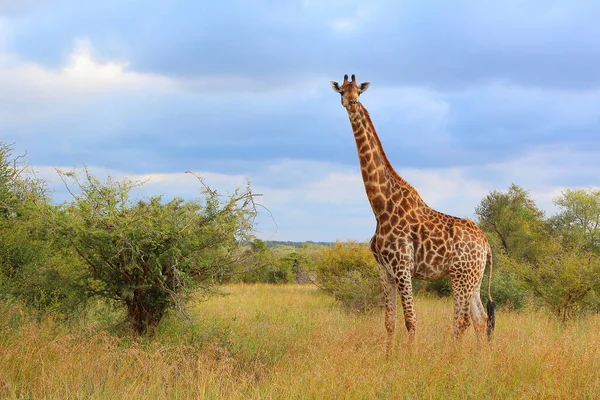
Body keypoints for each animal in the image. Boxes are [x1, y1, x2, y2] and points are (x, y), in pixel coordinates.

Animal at [330, 74, 494, 354]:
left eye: (358, 92)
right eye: (341, 91)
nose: (351, 103)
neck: (381, 207)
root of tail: (486, 244)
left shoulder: (402, 266)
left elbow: (411, 319)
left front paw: (410, 356)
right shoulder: (384, 270)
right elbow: (389, 321)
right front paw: (387, 357)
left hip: (460, 275)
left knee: (461, 320)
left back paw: (451, 356)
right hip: (474, 277)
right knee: (479, 317)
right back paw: (479, 357)